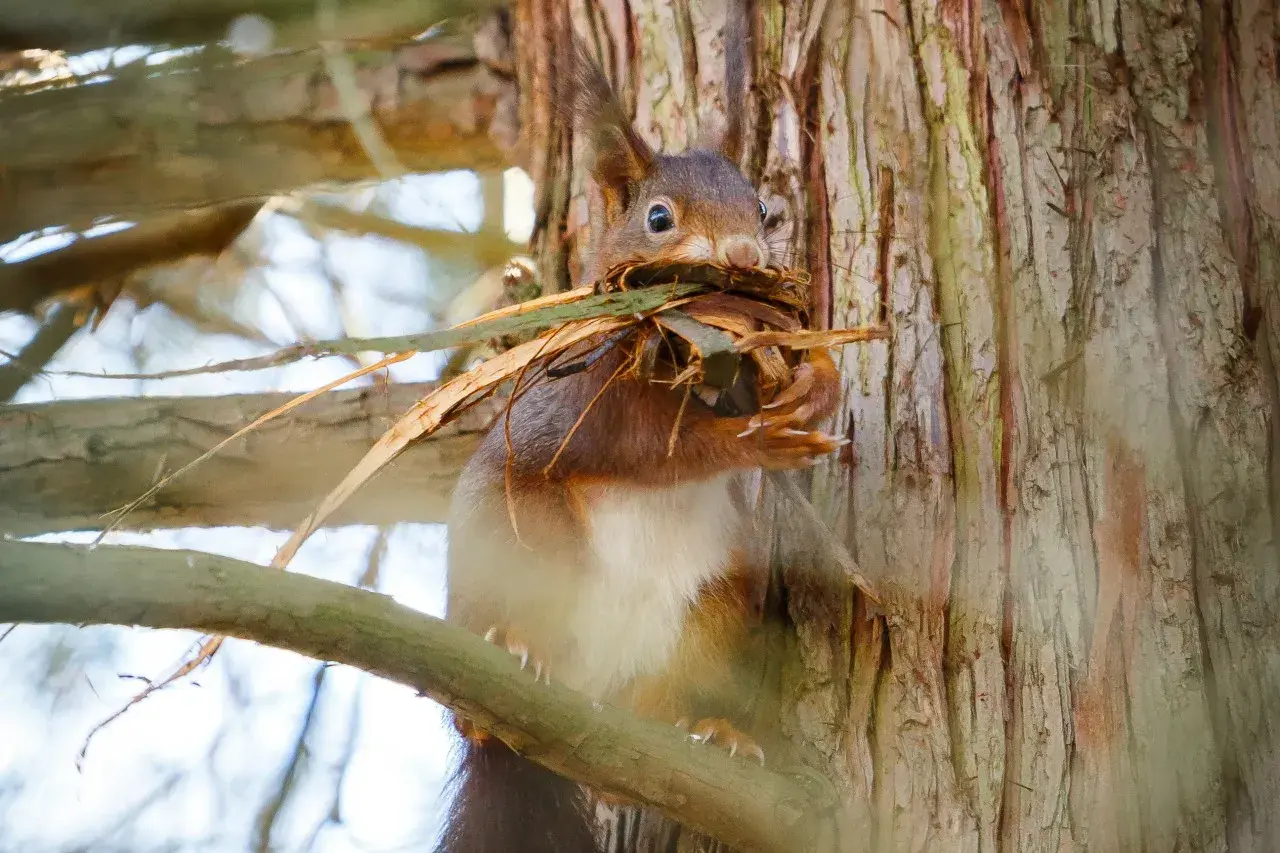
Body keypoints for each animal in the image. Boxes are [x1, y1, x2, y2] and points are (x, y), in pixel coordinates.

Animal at [434, 33, 843, 853]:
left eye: (764, 209)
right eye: (659, 217)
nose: (744, 254)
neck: (696, 348)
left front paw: (817, 385)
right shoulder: (586, 395)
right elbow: (654, 447)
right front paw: (748, 438)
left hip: (714, 614)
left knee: (658, 717)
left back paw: (710, 732)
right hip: (521, 539)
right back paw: (512, 656)